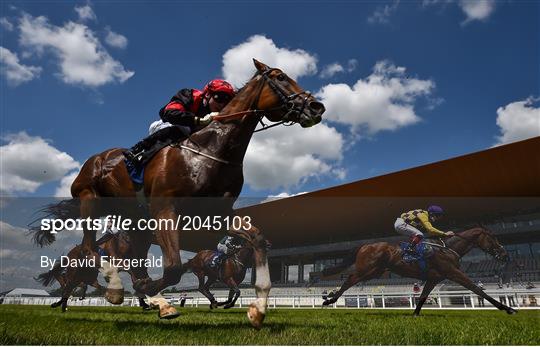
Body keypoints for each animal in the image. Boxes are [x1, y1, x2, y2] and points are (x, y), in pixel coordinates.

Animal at [32, 58, 324, 328]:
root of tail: (97, 159)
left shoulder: (216, 214)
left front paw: (258, 309)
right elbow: (172, 268)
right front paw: (149, 292)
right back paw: (115, 288)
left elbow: (258, 239)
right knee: (89, 248)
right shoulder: (165, 209)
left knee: (131, 260)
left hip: (136, 222)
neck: (210, 152)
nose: (316, 106)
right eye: (280, 76)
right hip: (89, 199)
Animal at [318, 227, 516, 316]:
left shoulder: (434, 278)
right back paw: (330, 299)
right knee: (349, 279)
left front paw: (415, 313)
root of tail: (365, 245)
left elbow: (422, 296)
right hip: (368, 269)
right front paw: (507, 308)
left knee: (351, 279)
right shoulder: (453, 273)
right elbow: (477, 289)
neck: (448, 249)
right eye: (493, 238)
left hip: (376, 271)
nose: (505, 255)